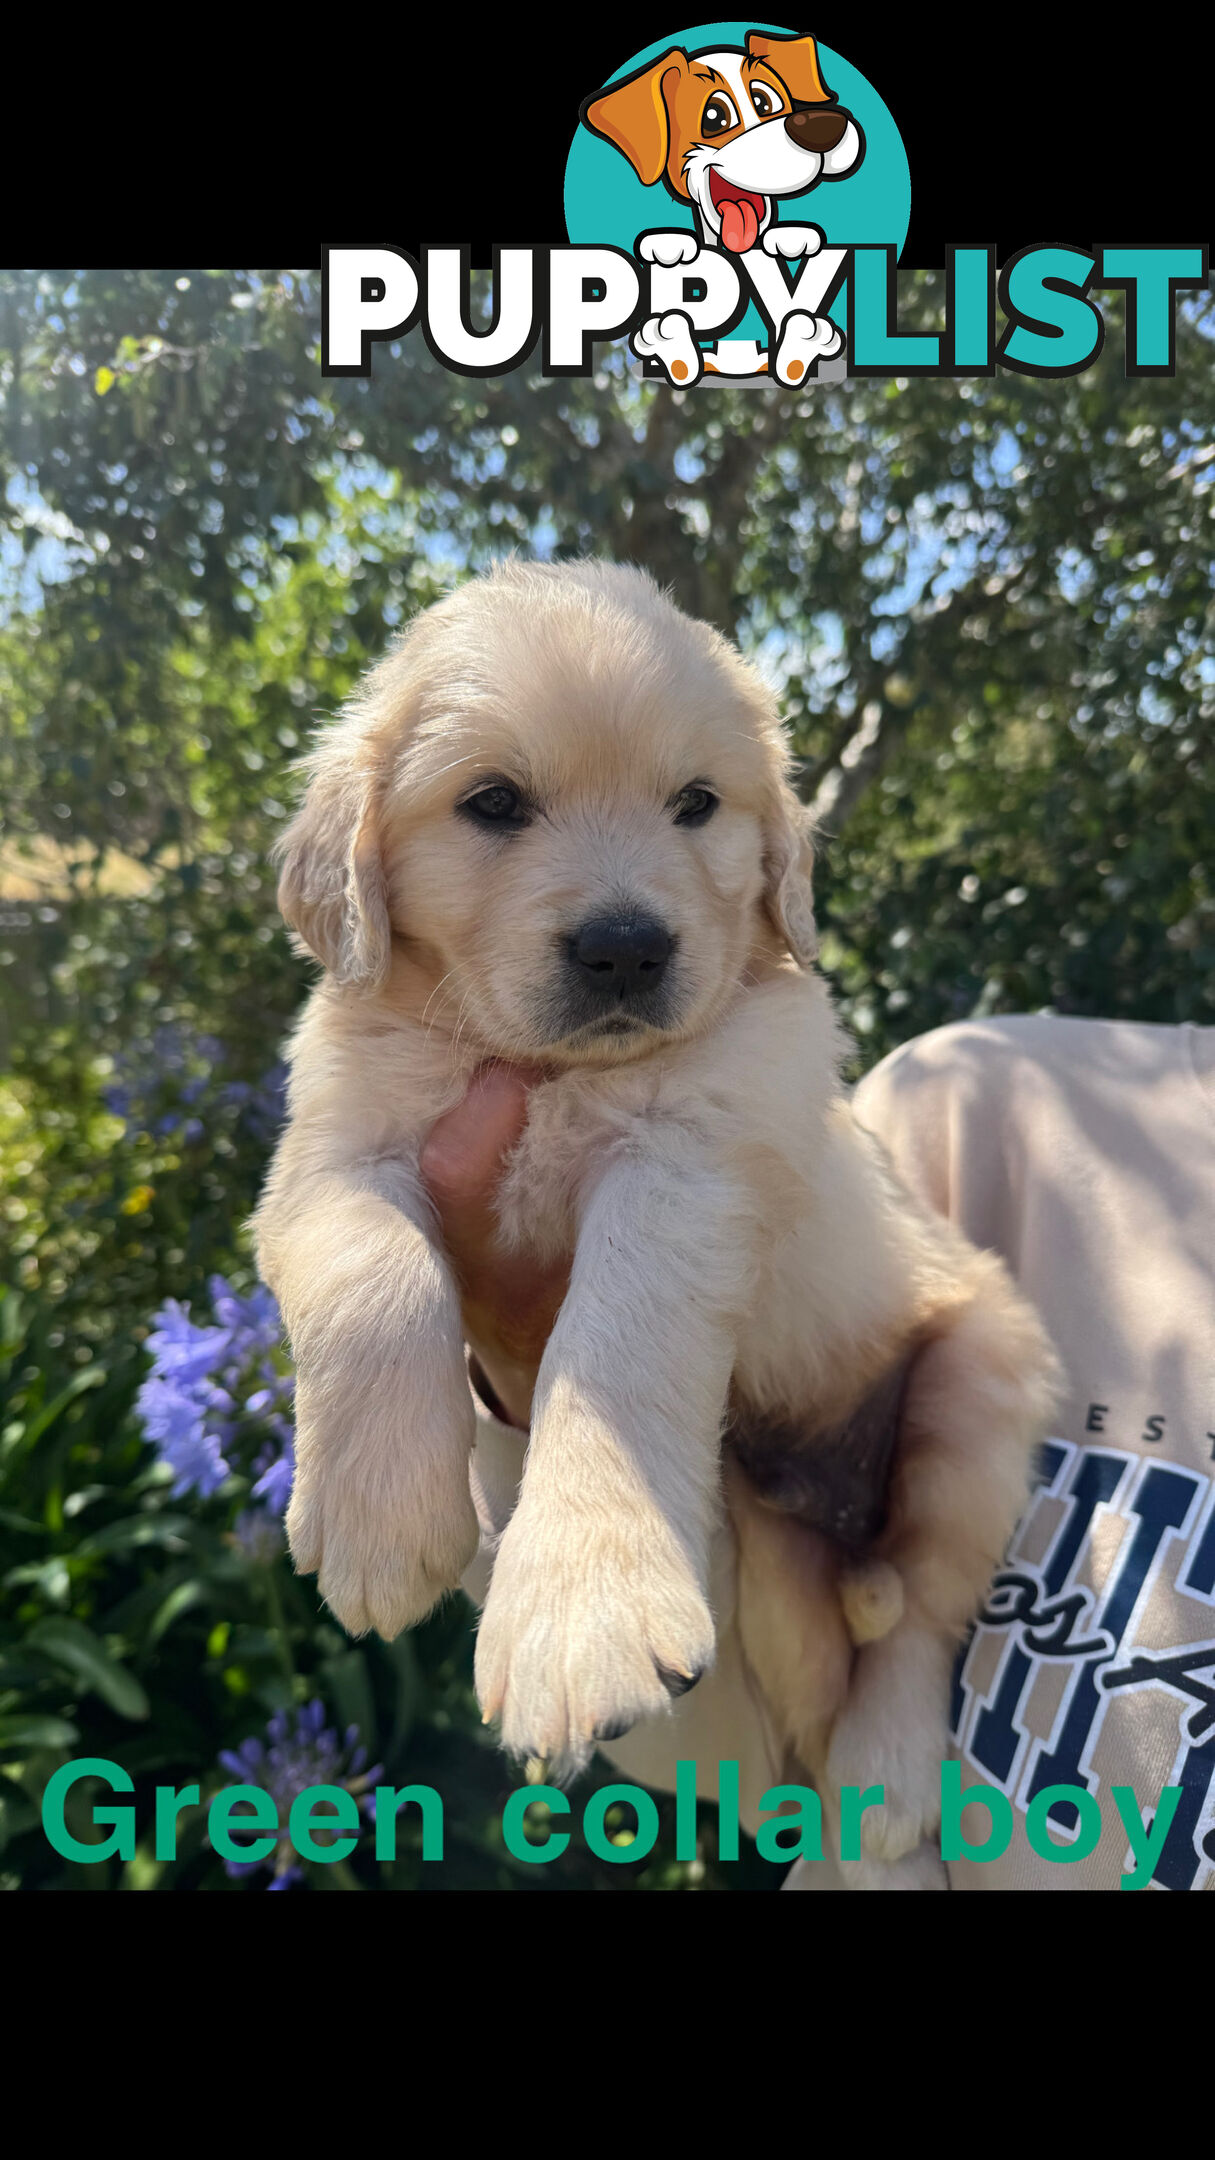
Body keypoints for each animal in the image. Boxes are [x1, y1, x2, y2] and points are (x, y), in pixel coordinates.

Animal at [257, 561, 1059, 1874]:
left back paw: (887, 1777)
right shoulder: (330, 1153)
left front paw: (582, 1610)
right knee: (810, 1704)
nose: (627, 949)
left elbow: (613, 1348)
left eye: (696, 804)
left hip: (978, 1396)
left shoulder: (690, 1162)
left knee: (922, 1617)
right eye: (493, 803)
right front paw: (379, 1516)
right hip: (780, 1567)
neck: (551, 1074)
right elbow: (372, 1274)